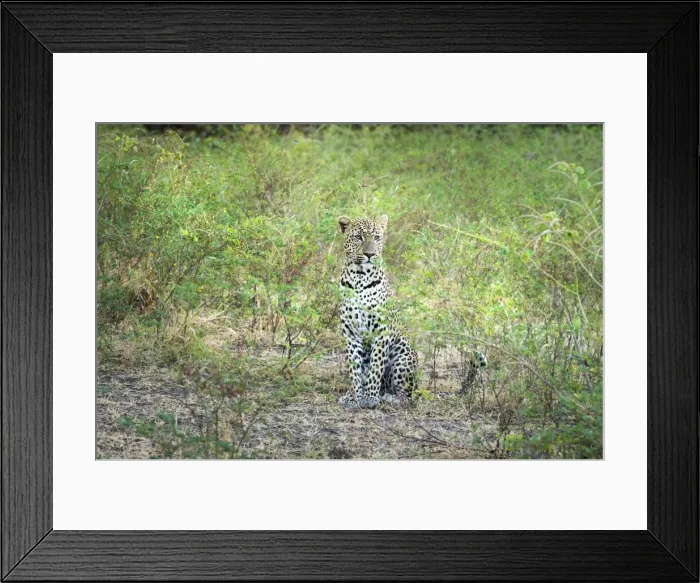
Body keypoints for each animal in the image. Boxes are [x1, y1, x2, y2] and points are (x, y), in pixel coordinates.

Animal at [336, 215, 418, 409]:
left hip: (402, 357)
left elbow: (376, 366)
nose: (370, 254)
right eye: (358, 237)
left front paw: (370, 398)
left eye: (377, 237)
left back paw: (388, 397)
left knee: (406, 396)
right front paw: (357, 397)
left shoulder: (381, 331)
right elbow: (355, 369)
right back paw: (349, 395)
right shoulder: (350, 333)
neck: (359, 276)